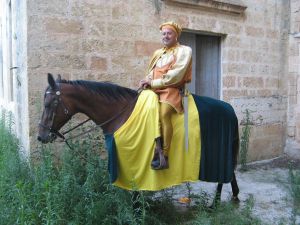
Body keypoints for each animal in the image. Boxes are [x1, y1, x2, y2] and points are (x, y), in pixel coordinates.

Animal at [37, 73, 240, 206]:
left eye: (50, 103)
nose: (41, 136)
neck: (121, 113)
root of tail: (229, 109)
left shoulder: (133, 163)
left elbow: (135, 194)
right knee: (231, 172)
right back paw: (234, 195)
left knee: (224, 176)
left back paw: (215, 203)